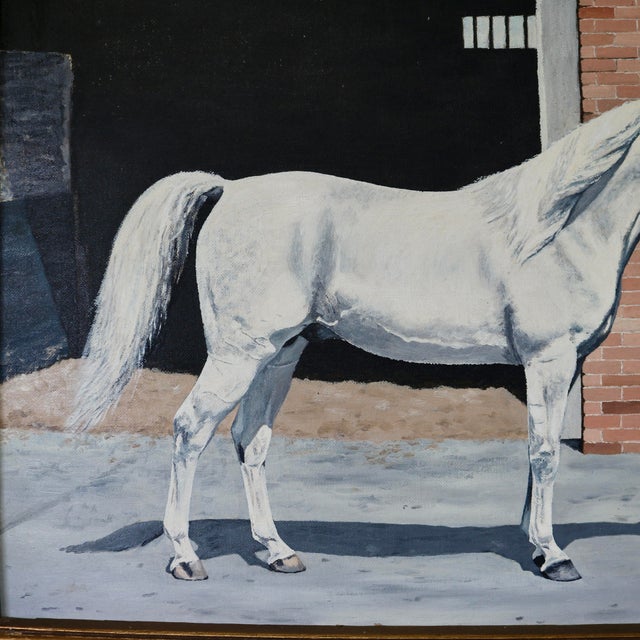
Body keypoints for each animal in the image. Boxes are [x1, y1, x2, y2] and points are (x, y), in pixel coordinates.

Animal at [69, 100, 640, 583]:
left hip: (277, 357)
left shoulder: (561, 364)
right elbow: (545, 452)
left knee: (250, 440)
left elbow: (535, 449)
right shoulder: (548, 360)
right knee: (191, 429)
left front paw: (532, 542)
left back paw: (278, 551)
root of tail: (230, 188)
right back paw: (185, 558)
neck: (559, 233)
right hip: (239, 354)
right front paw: (552, 555)